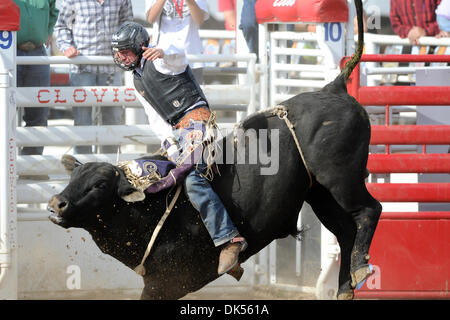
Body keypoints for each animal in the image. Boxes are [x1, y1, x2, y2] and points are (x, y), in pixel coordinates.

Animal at [48, 74, 380, 298]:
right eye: (73, 179)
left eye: (99, 185)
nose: (55, 204)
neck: (151, 212)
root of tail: (332, 88)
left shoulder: (164, 284)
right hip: (321, 194)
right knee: (346, 231)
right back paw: (346, 286)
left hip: (341, 181)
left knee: (369, 211)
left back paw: (360, 268)